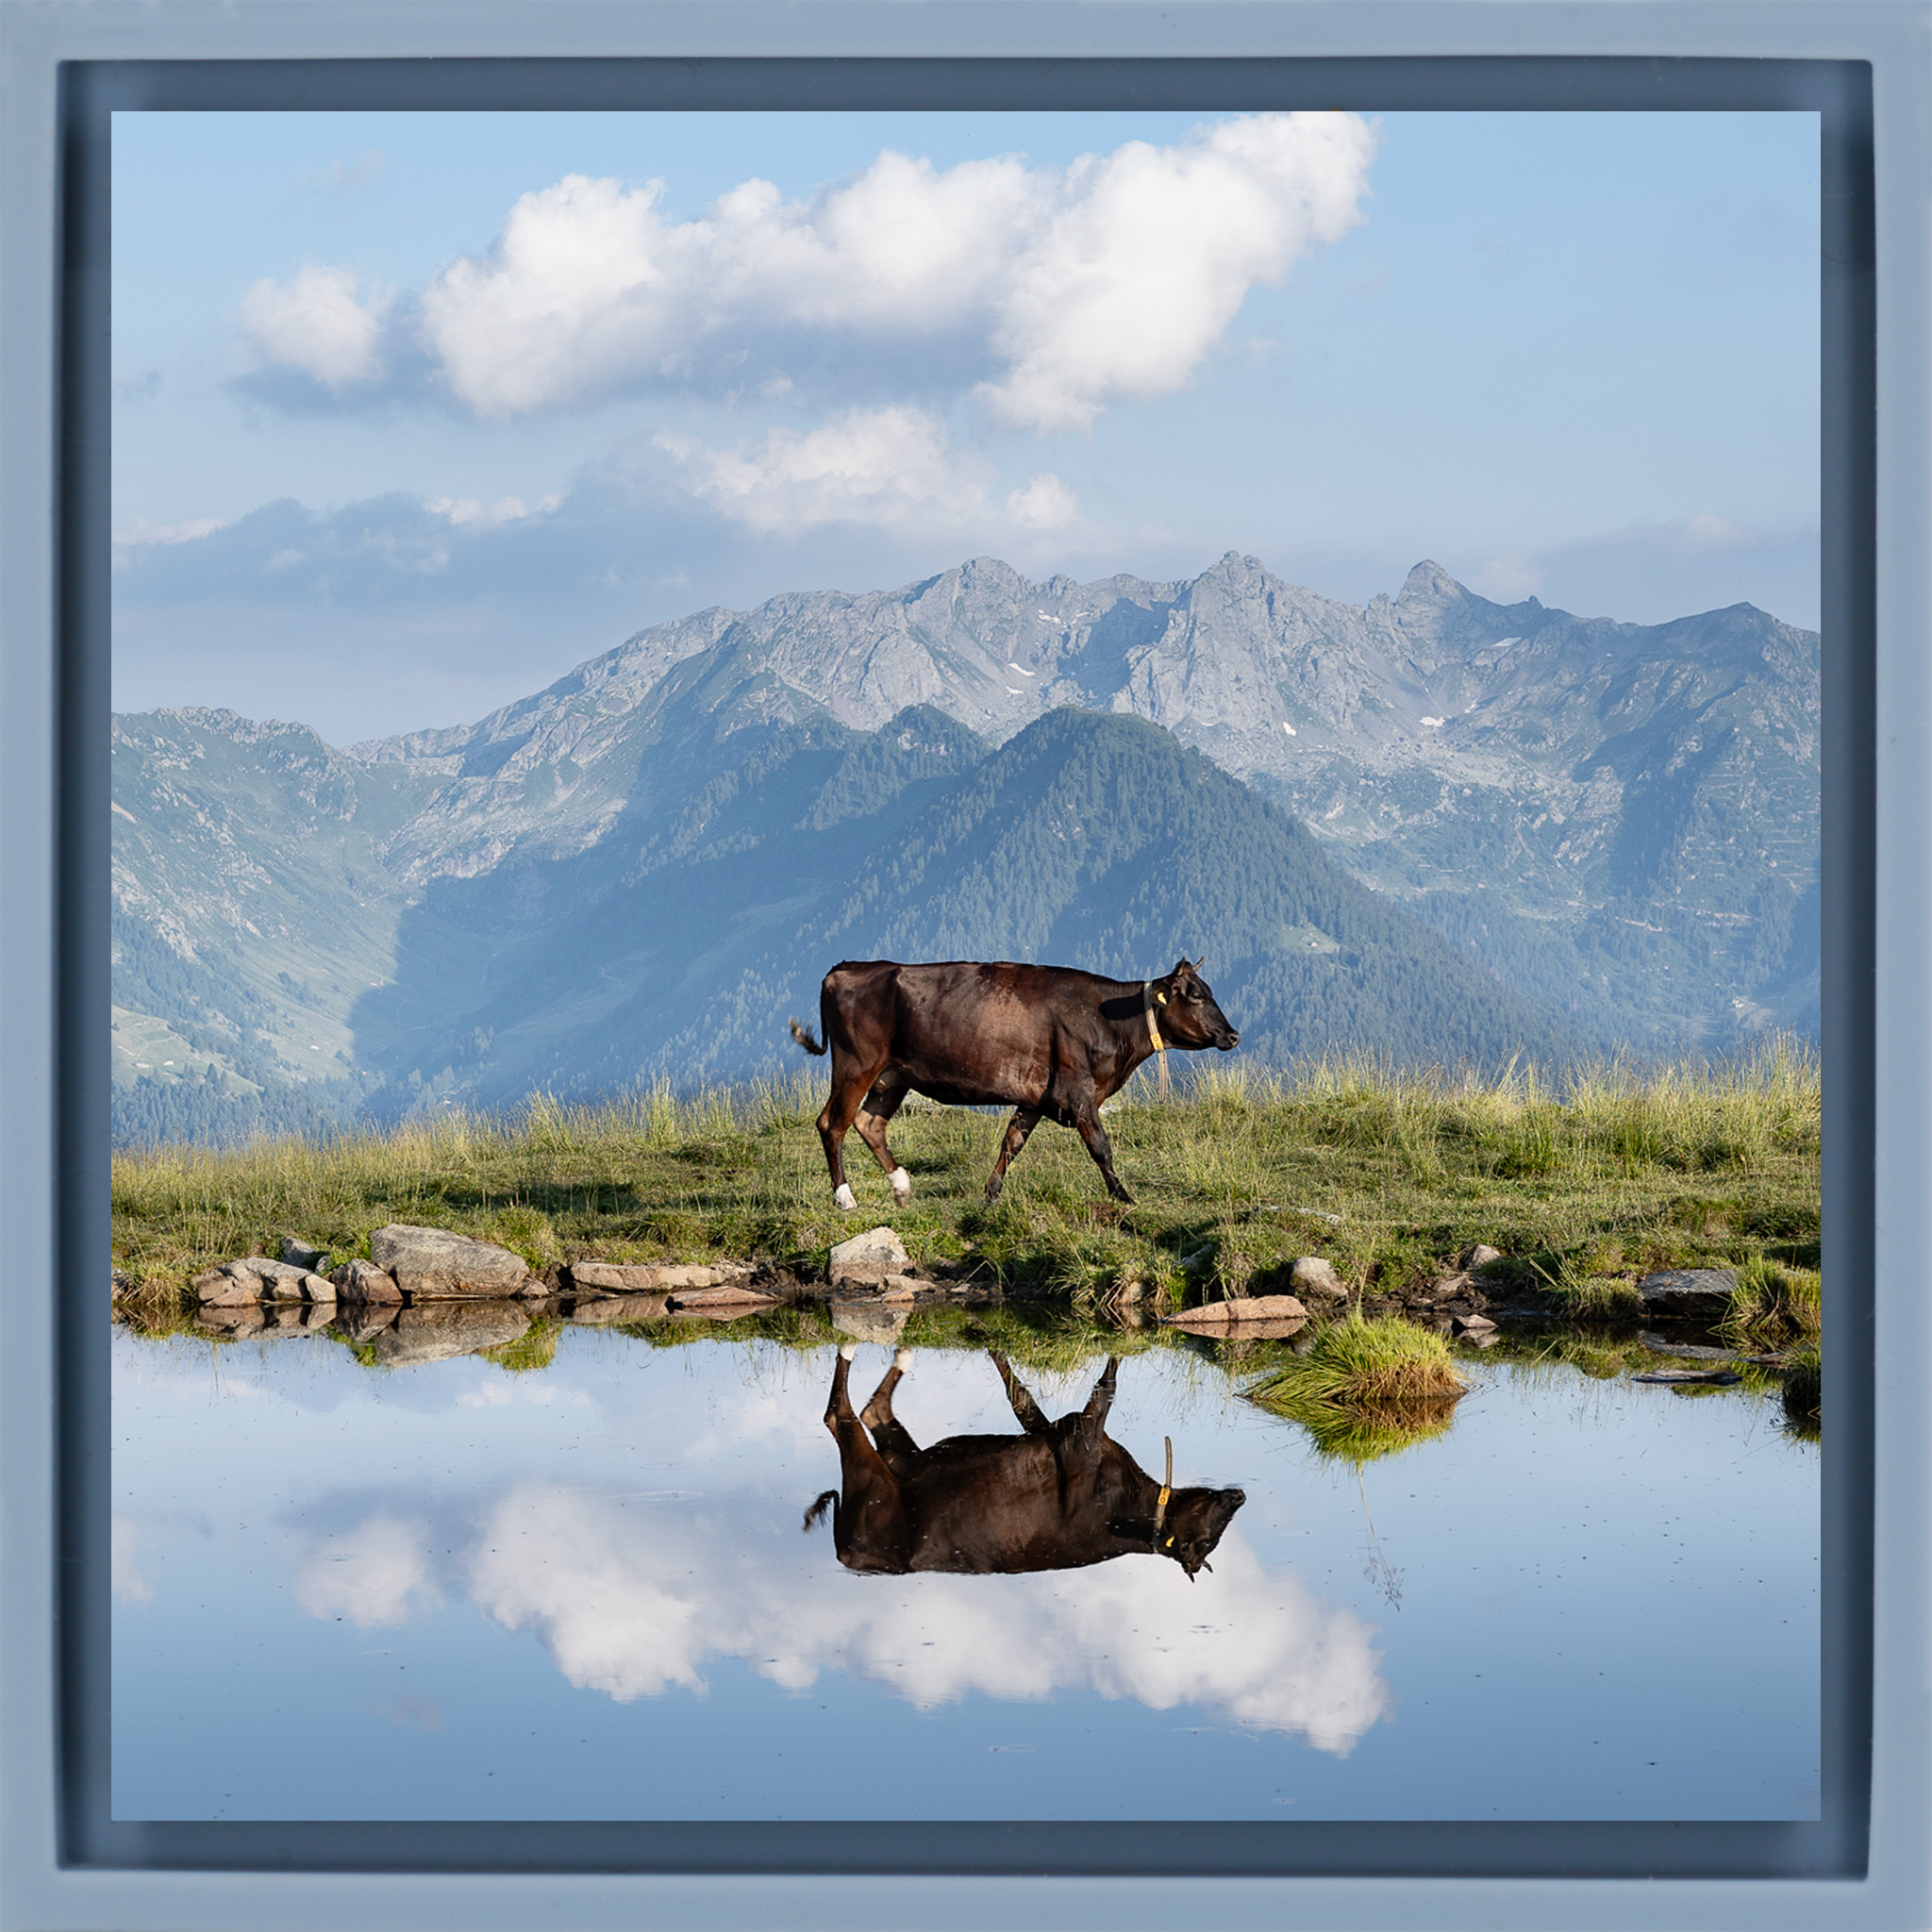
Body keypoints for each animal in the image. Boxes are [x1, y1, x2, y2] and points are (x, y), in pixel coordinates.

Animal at [786, 957, 1238, 1209]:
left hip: (892, 1077)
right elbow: (1101, 1147)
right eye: (1196, 996)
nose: (1233, 1035)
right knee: (833, 1124)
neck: (1107, 1019)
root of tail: (847, 968)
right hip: (856, 1064)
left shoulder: (1037, 1097)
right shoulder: (1078, 1092)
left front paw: (990, 1194)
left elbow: (1012, 1142)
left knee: (869, 1124)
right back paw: (845, 1198)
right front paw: (1124, 1196)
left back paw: (901, 1187)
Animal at [804, 1347, 1247, 1581]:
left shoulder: (1071, 1434)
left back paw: (891, 1353)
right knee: (845, 1412)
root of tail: (846, 1554)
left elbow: (1033, 1395)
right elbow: (1070, 1388)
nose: (1240, 1495)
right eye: (1205, 1540)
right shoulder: (1075, 1435)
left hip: (888, 1471)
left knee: (857, 1412)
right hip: (879, 1478)